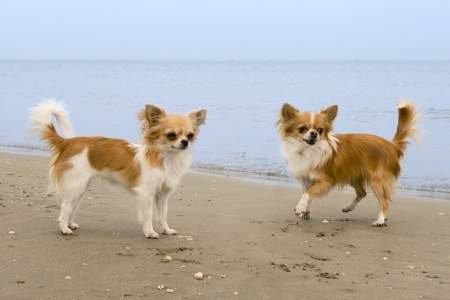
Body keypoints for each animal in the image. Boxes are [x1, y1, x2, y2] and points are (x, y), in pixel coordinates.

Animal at [30, 99, 207, 238]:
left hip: (80, 187)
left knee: (71, 207)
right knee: (66, 207)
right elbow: (148, 215)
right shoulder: (146, 193)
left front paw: (166, 230)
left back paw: (70, 224)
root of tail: (67, 142)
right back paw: (64, 228)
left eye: (190, 135)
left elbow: (162, 215)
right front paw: (150, 232)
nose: (185, 142)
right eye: (171, 135)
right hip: (76, 184)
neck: (167, 158)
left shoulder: (163, 194)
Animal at [278, 102, 418, 226]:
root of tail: (391, 146)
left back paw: (380, 220)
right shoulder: (306, 180)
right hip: (354, 176)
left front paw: (300, 208)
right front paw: (305, 212)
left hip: (376, 180)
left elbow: (309, 193)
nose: (314, 133)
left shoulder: (325, 181)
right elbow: (307, 194)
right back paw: (348, 207)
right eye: (302, 129)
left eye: (320, 130)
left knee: (384, 201)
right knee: (362, 193)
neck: (307, 150)